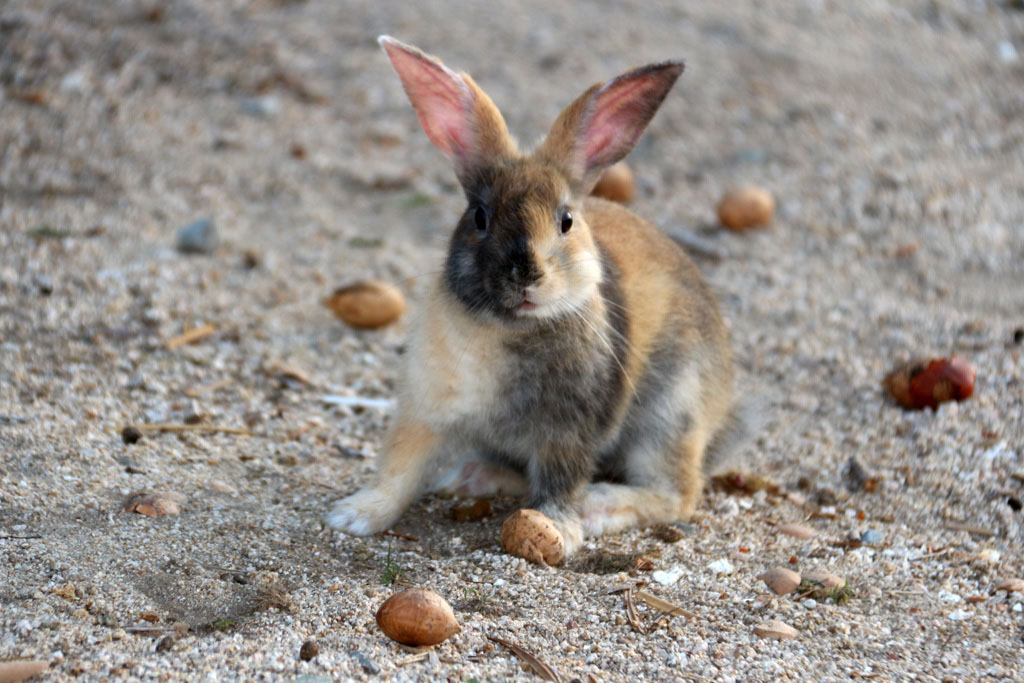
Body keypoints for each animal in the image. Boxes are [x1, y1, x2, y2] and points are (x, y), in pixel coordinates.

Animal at [327, 36, 745, 560]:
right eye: (480, 217)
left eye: (566, 220)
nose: (527, 275)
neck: (509, 326)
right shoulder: (425, 409)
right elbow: (399, 467)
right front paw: (352, 516)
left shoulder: (569, 433)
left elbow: (559, 481)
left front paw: (560, 529)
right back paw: (470, 477)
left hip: (670, 416)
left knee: (676, 495)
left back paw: (600, 505)